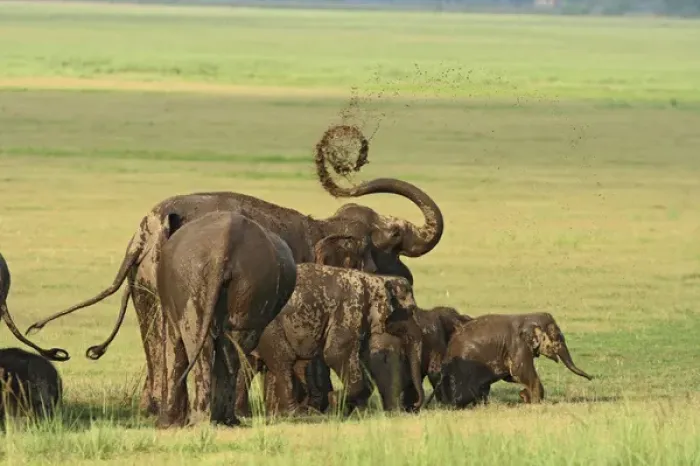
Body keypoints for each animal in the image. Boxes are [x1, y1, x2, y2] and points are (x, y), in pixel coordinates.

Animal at [155, 211, 297, 428]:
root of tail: (223, 248)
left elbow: (174, 345)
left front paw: (166, 424)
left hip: (196, 282)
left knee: (199, 342)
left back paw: (202, 419)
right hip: (252, 282)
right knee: (233, 347)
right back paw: (224, 419)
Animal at [250, 263, 425, 418]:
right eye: (411, 310)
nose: (414, 407)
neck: (376, 279)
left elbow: (370, 357)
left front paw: (350, 410)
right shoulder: (350, 309)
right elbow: (335, 354)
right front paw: (334, 400)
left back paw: (281, 414)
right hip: (268, 325)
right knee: (284, 360)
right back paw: (295, 414)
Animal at [434, 312, 593, 409]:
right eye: (557, 337)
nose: (591, 377)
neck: (528, 317)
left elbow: (511, 375)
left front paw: (525, 396)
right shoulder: (518, 345)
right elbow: (520, 371)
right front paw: (535, 402)